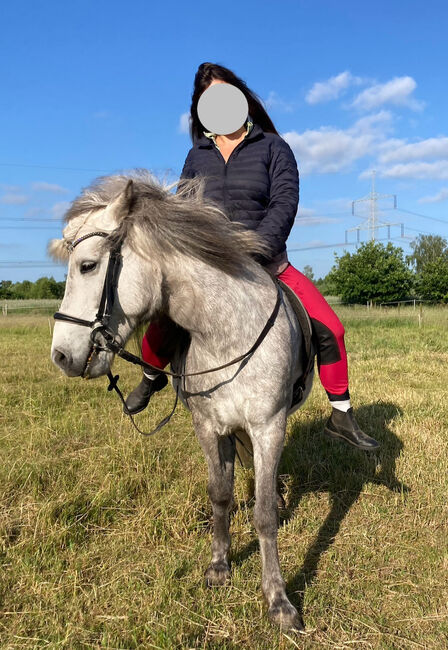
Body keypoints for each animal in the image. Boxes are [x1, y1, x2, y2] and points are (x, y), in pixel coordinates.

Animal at [50, 168, 316, 628]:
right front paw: (219, 568)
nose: (61, 355)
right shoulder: (209, 427)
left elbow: (264, 515)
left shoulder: (269, 426)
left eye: (88, 265)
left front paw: (279, 602)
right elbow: (220, 494)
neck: (228, 334)